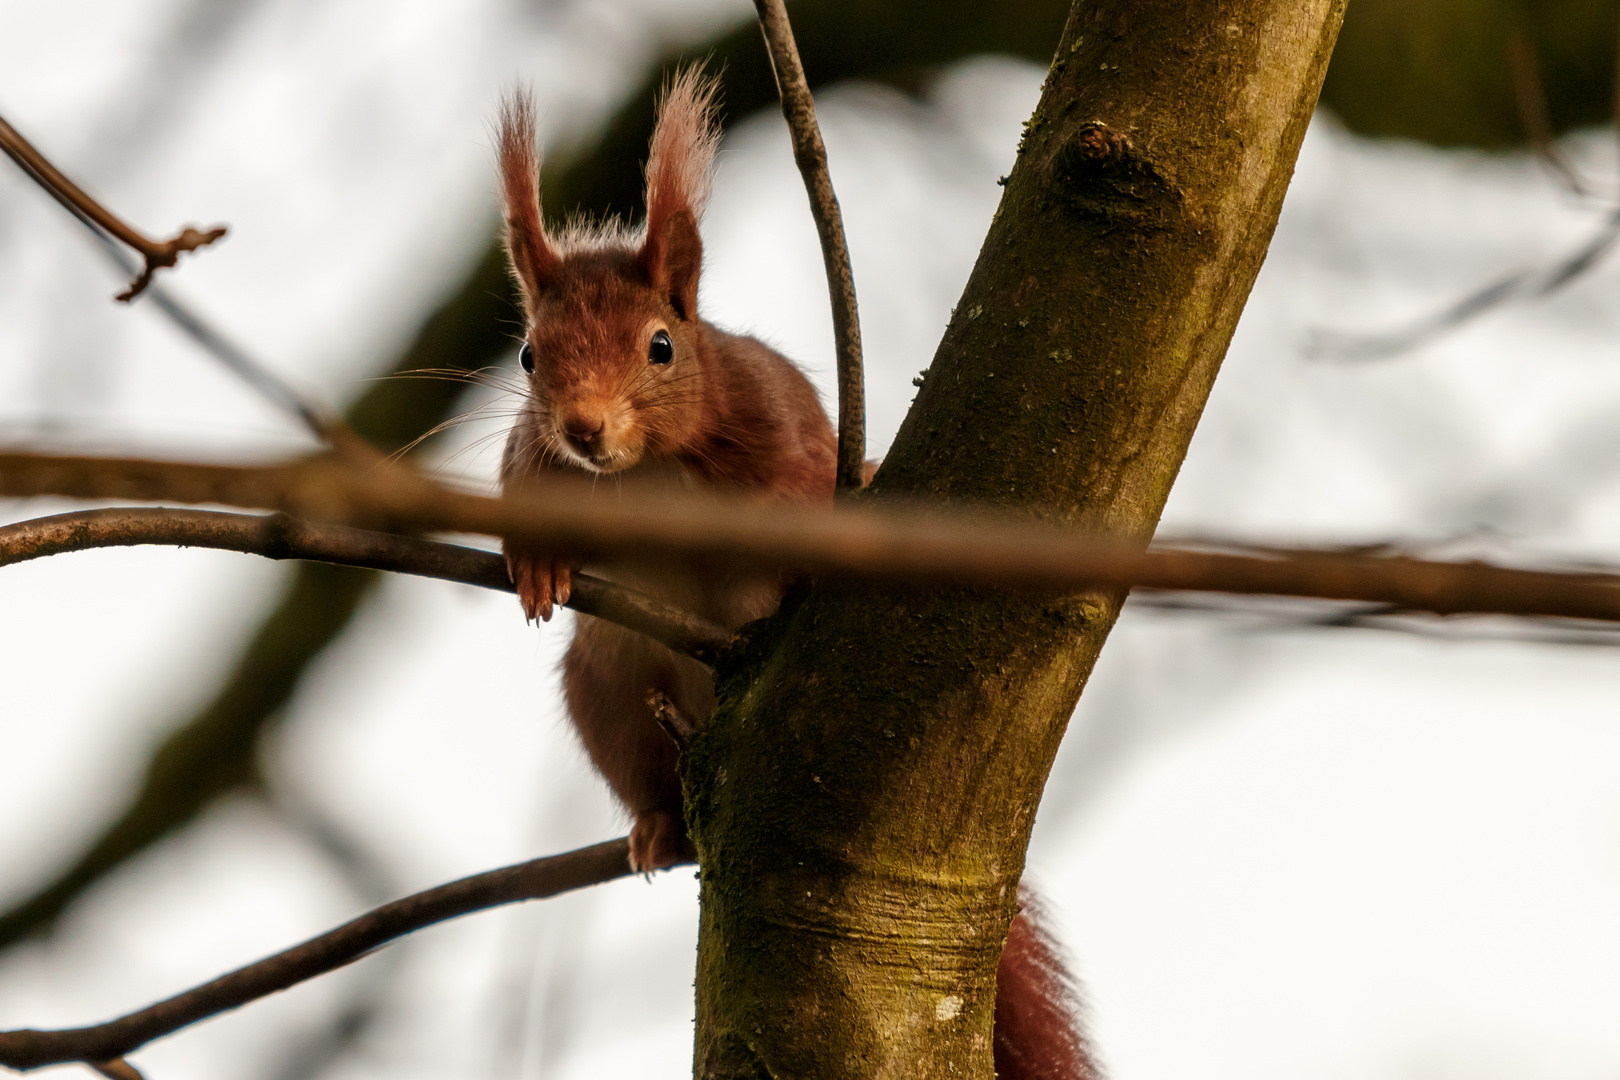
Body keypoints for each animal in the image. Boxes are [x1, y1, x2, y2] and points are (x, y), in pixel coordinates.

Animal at [495, 71, 1101, 1075]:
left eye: (662, 345)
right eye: (529, 355)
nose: (584, 429)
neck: (645, 471)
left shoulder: (777, 427)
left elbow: (810, 487)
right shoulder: (537, 469)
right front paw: (537, 565)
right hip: (609, 688)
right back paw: (658, 823)